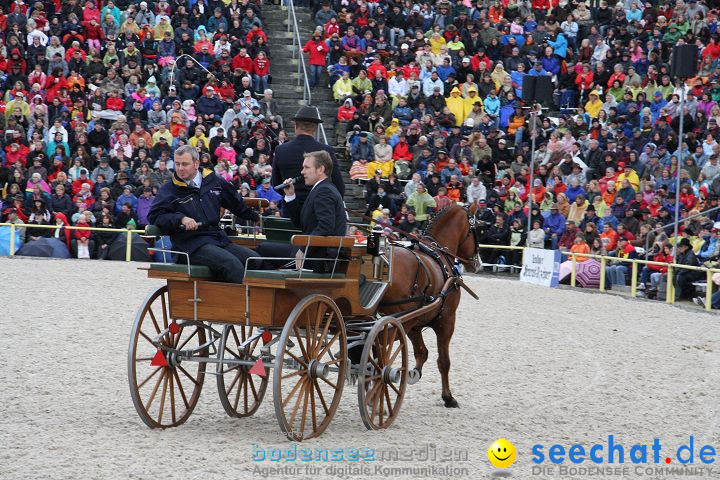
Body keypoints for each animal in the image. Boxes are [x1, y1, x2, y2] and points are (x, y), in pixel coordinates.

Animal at [382, 203, 478, 408]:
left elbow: (421, 352)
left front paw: (413, 373)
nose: (476, 262)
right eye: (477, 229)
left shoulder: (415, 322)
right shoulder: (446, 320)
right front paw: (448, 397)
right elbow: (444, 361)